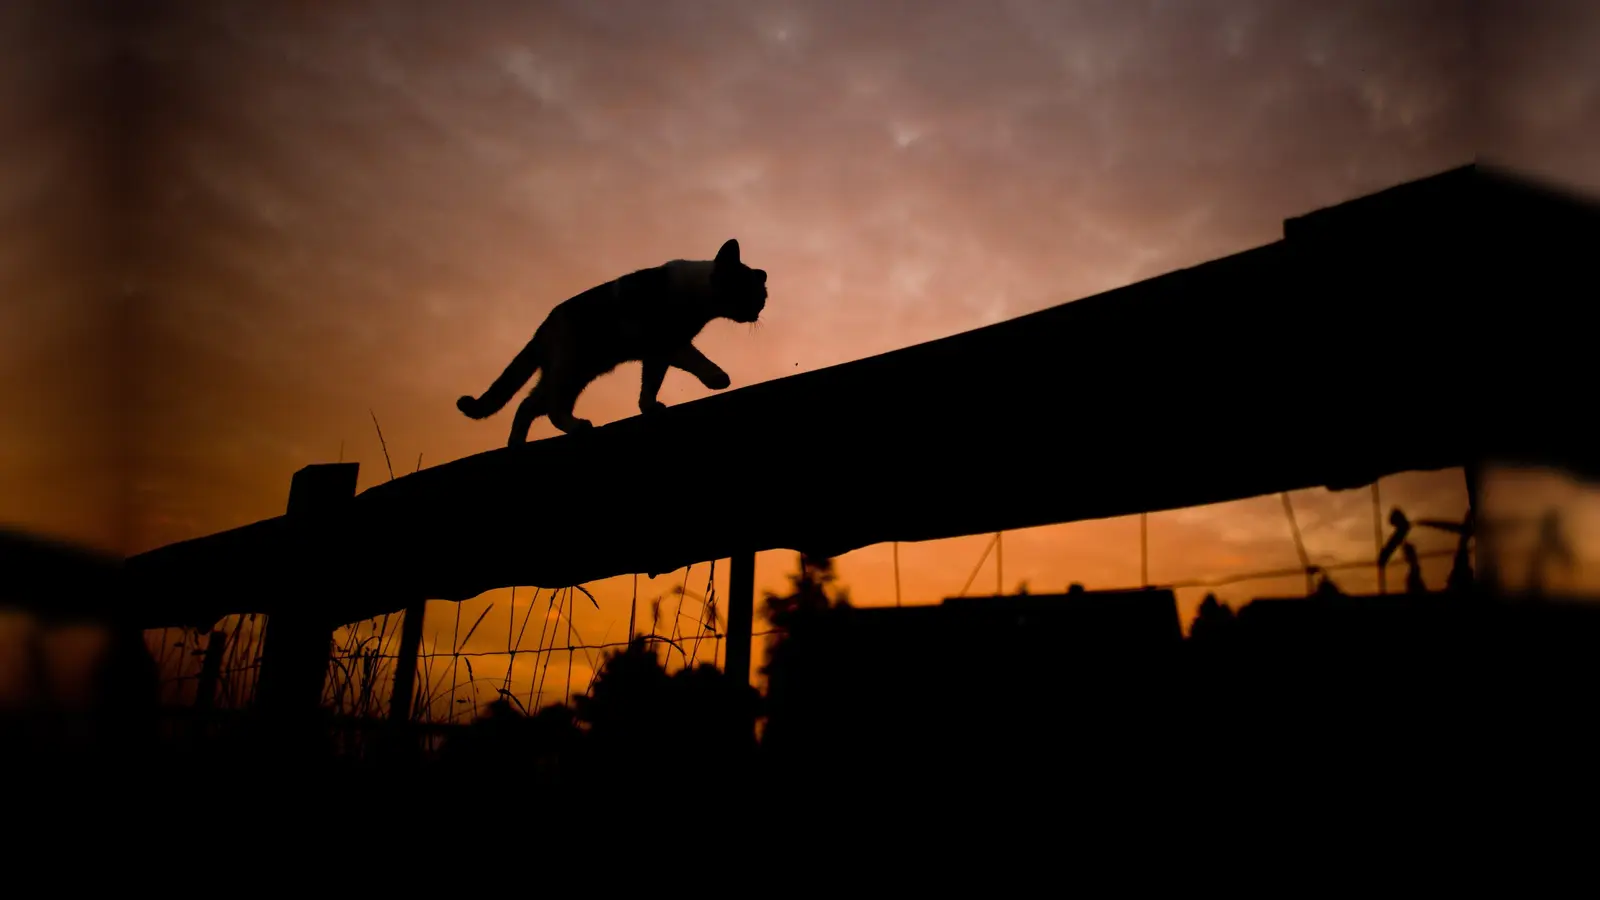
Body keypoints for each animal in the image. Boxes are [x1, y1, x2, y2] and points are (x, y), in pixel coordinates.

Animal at [457, 238, 768, 445]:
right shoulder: (668, 342)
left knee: (529, 405)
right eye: (750, 292)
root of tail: (541, 329)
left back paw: (516, 444)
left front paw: (649, 407)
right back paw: (576, 427)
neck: (697, 296)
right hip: (572, 370)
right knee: (550, 407)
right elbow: (697, 360)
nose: (757, 313)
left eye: (761, 298)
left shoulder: (656, 355)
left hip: (573, 373)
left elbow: (650, 385)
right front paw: (718, 378)